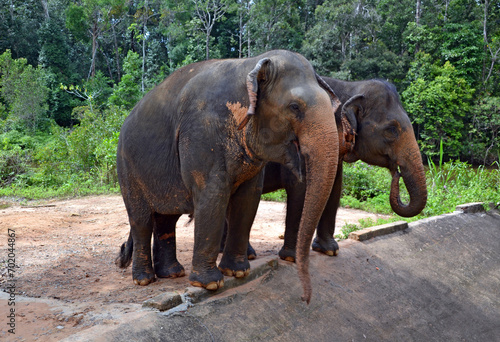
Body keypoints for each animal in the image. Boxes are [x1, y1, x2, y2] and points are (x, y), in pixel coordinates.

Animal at [114, 50, 340, 302]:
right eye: (294, 107)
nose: (305, 298)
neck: (249, 66)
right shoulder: (202, 133)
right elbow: (214, 195)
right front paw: (210, 284)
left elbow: (248, 199)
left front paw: (237, 272)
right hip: (127, 168)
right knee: (141, 219)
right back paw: (144, 280)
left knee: (166, 219)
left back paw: (172, 274)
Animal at [236, 78, 428, 262]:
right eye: (391, 129)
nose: (397, 172)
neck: (349, 87)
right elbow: (300, 188)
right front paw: (292, 257)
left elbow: (335, 187)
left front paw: (329, 251)